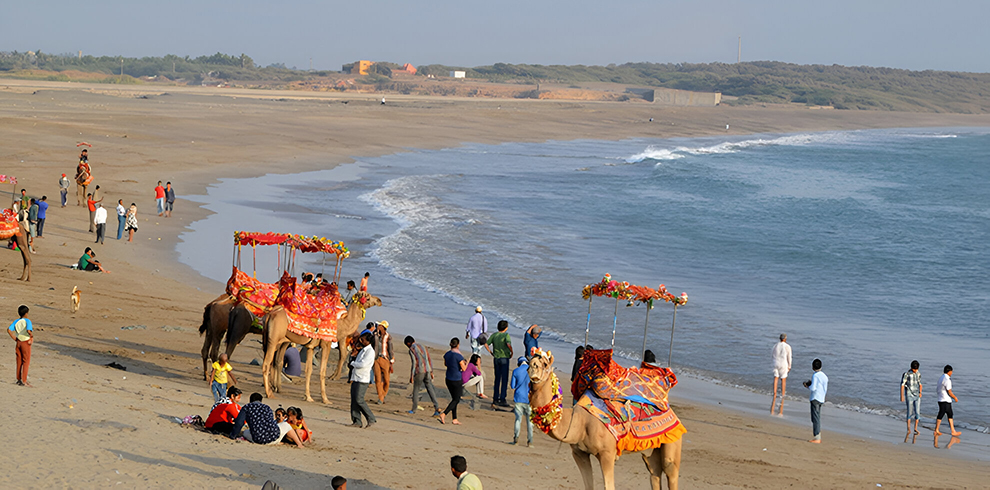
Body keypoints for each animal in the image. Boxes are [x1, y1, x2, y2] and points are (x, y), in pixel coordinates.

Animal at [532, 348, 684, 490]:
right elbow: (588, 485)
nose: (533, 366)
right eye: (530, 361)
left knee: (670, 469)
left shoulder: (607, 453)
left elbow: (609, 486)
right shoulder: (579, 453)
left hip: (673, 440)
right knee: (654, 472)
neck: (580, 422)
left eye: (545, 364)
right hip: (651, 450)